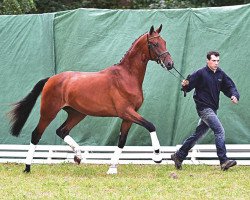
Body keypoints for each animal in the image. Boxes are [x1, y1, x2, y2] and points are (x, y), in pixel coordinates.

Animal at [9, 24, 174, 173]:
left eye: (164, 42)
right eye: (154, 44)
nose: (170, 64)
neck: (126, 76)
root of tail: (51, 79)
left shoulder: (128, 116)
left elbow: (122, 141)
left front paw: (112, 168)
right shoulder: (126, 112)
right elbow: (150, 126)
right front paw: (157, 156)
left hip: (77, 113)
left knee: (62, 131)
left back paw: (78, 156)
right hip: (49, 112)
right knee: (36, 134)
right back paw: (27, 167)